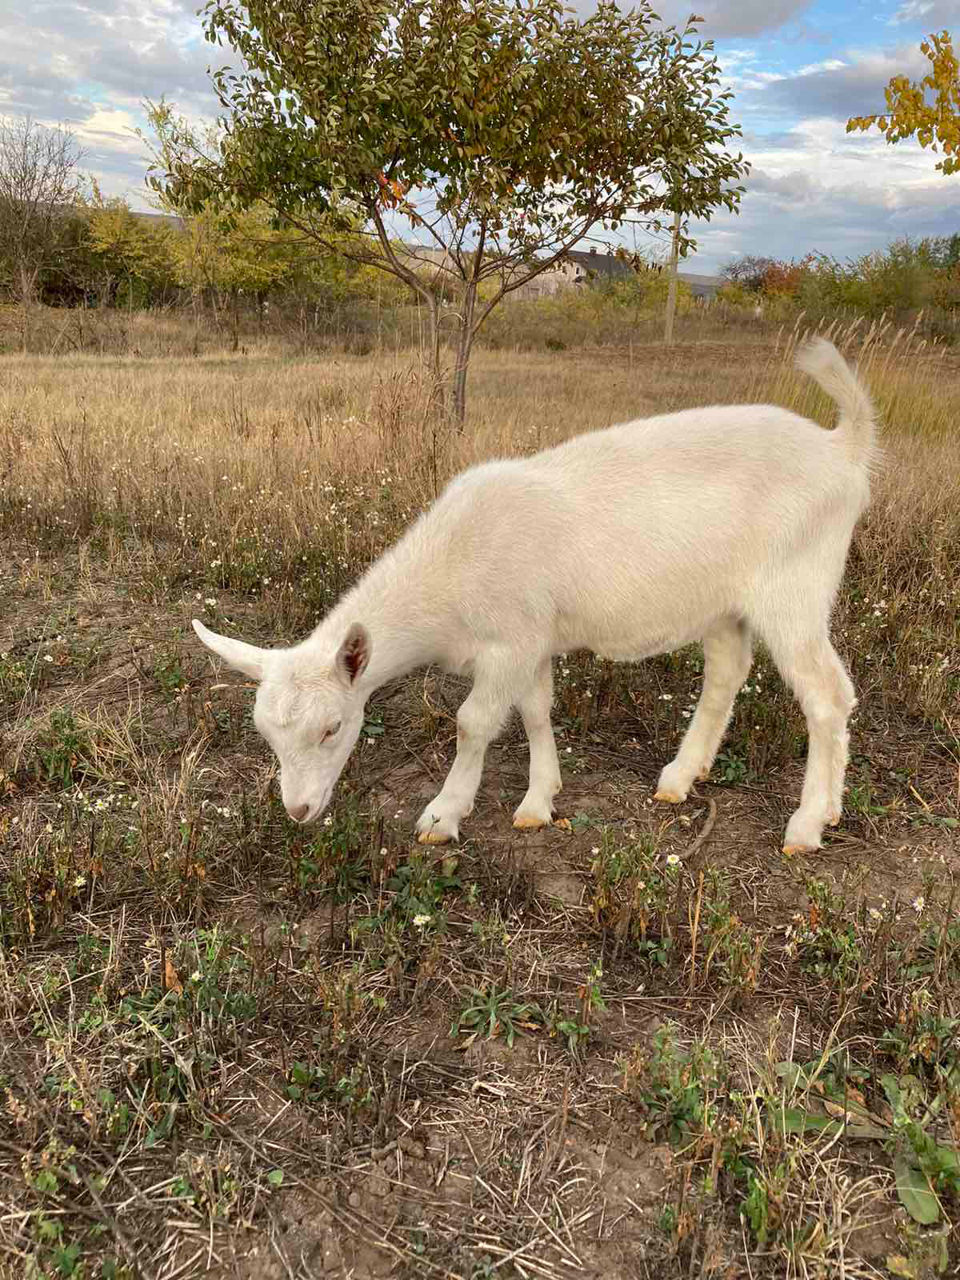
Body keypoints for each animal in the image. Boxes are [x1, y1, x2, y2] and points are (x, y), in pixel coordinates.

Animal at [193, 335, 880, 855]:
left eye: (333, 728)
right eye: (266, 735)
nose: (299, 811)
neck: (449, 570)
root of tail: (842, 447)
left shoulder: (510, 640)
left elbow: (473, 722)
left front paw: (443, 814)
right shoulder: (532, 640)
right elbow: (535, 712)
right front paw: (538, 800)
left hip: (796, 584)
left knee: (827, 696)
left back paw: (809, 823)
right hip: (722, 600)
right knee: (727, 672)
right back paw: (684, 778)